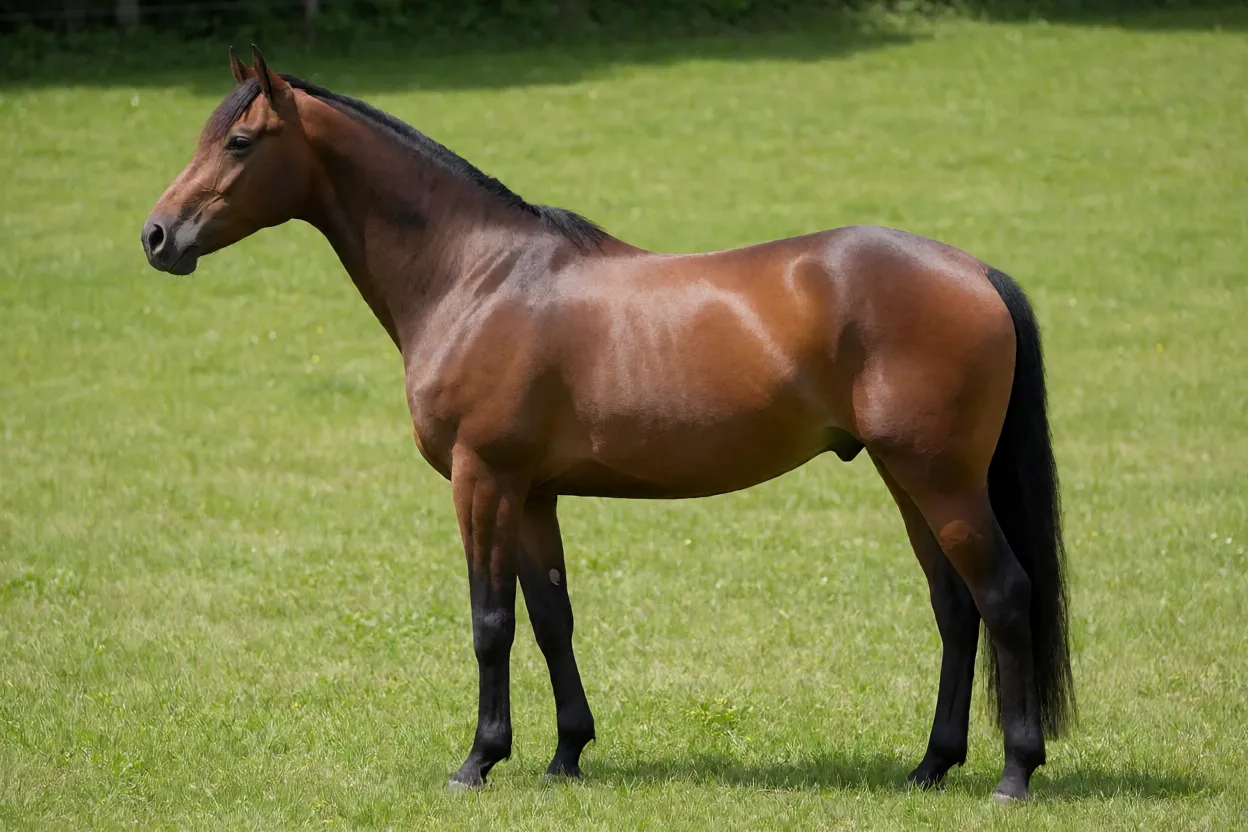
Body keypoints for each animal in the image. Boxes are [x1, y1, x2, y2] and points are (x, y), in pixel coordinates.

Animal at [142, 46, 1075, 803]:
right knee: (954, 608)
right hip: (906, 477)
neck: (477, 276)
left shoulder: (484, 481)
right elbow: (552, 617)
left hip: (940, 479)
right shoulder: (533, 494)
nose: (157, 236)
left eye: (238, 142)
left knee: (1002, 594)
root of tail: (973, 271)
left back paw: (1014, 773)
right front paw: (566, 756)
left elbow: (491, 623)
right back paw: (930, 766)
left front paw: (478, 761)